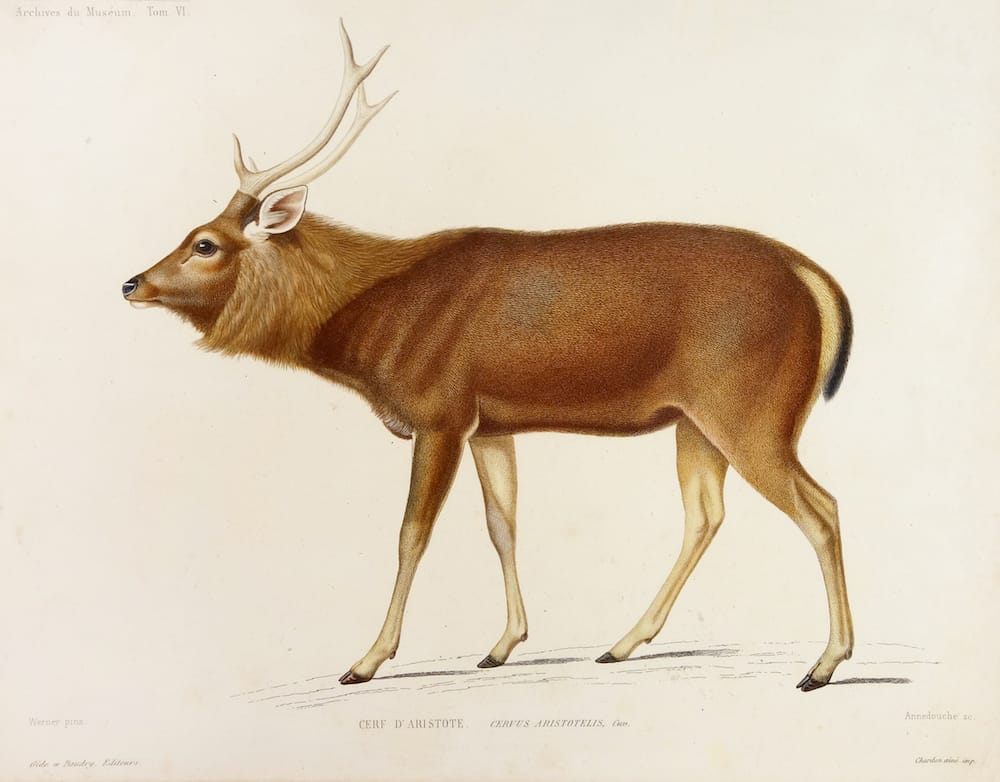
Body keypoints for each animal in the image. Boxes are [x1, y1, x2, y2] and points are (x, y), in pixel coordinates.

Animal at [122, 21, 854, 691]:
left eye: (205, 243)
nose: (131, 282)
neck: (375, 331)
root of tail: (817, 281)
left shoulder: (439, 412)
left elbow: (412, 532)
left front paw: (367, 659)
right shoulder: (490, 426)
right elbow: (502, 524)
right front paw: (502, 645)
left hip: (750, 408)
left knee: (820, 507)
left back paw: (824, 663)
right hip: (696, 420)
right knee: (707, 514)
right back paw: (622, 644)